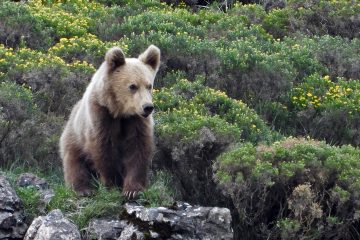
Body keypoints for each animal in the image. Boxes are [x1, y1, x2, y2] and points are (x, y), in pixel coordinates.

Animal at [59, 45, 161, 199]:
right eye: (132, 86)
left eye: (149, 85)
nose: (147, 107)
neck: (120, 111)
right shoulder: (101, 115)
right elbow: (104, 148)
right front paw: (113, 184)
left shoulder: (135, 121)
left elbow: (138, 148)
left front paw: (133, 190)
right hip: (74, 137)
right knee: (74, 163)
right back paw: (83, 189)